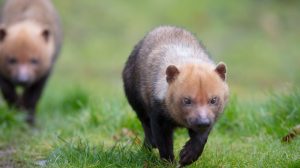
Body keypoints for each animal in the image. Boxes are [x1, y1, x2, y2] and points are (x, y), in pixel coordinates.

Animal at [122, 25, 230, 166]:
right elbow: (164, 142)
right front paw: (169, 162)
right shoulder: (158, 113)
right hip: (135, 98)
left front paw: (187, 156)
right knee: (144, 121)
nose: (202, 122)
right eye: (186, 100)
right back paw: (150, 143)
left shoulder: (210, 118)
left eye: (213, 100)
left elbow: (201, 138)